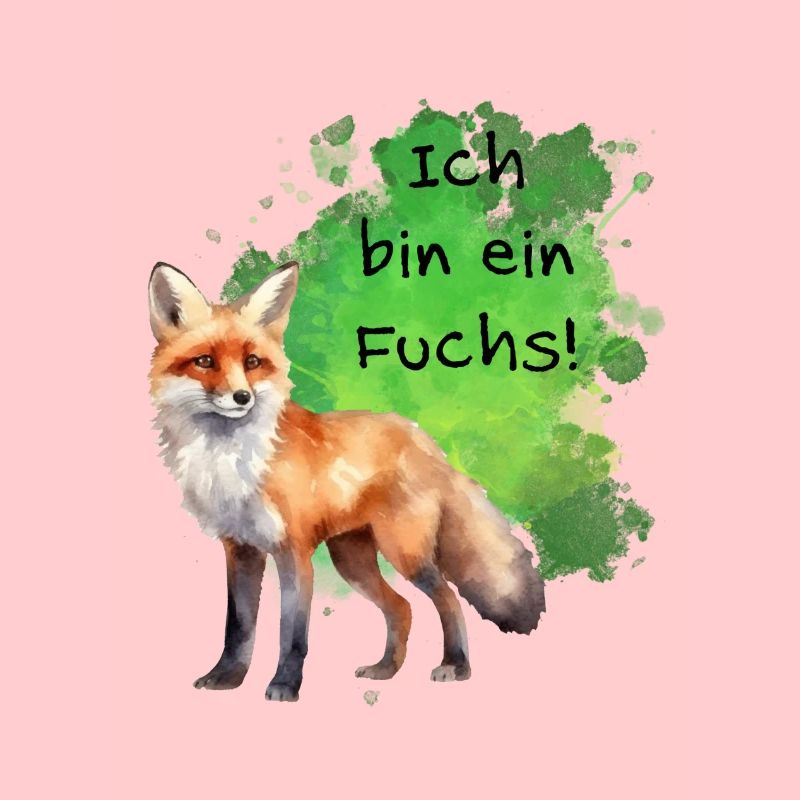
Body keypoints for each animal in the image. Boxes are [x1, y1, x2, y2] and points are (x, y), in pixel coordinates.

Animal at [148, 260, 545, 701]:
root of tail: (424, 440)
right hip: (352, 561)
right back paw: (386, 669)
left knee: (448, 599)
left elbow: (292, 635)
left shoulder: (294, 552)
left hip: (404, 553)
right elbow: (238, 627)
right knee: (402, 608)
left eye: (252, 362)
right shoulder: (241, 549)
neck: (231, 459)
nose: (241, 398)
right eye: (204, 361)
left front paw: (285, 685)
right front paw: (227, 678)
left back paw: (455, 665)